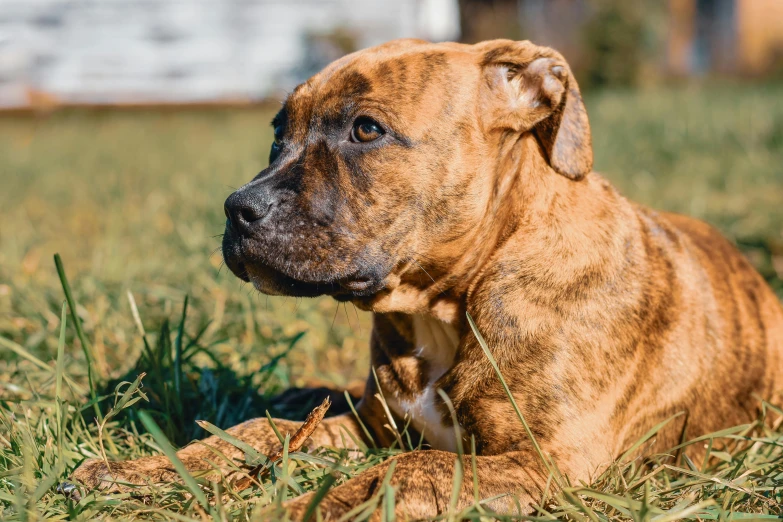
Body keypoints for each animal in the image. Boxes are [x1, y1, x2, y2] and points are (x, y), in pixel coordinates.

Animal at [66, 39, 783, 516]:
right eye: (277, 134)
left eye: (366, 129)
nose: (237, 209)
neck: (444, 307)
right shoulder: (366, 423)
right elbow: (259, 429)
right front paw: (145, 469)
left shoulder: (544, 463)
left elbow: (411, 470)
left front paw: (291, 510)